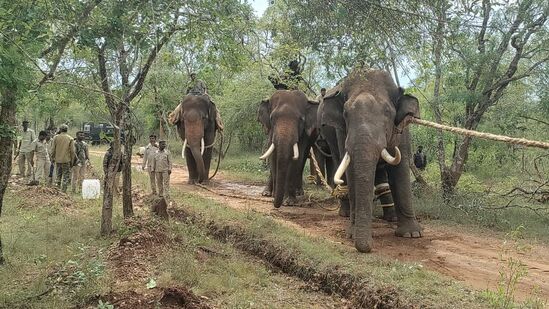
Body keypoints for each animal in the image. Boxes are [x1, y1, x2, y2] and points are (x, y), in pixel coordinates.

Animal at [318, 68, 422, 251]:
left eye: (387, 112)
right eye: (345, 113)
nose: (368, 247)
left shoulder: (402, 129)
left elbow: (401, 169)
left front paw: (411, 234)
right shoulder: (342, 132)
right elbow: (351, 172)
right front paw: (352, 234)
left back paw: (391, 218)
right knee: (339, 166)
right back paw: (345, 214)